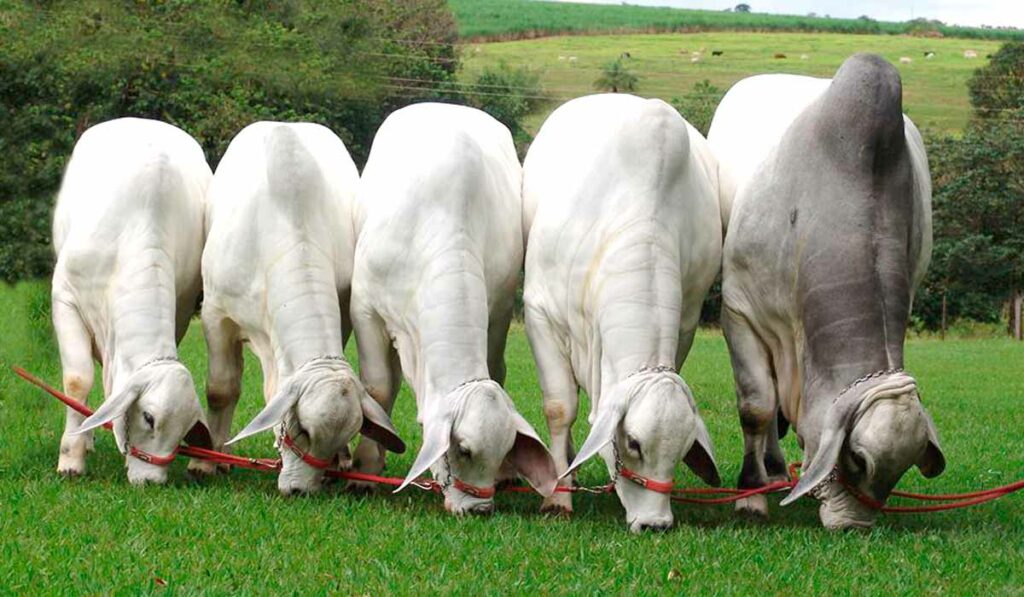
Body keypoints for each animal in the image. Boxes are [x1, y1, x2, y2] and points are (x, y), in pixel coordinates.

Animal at [54, 117, 211, 485]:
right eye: (149, 418)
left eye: (183, 432)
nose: (151, 481)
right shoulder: (65, 299)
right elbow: (77, 380)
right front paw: (71, 458)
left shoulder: (181, 310)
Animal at [195, 120, 403, 495]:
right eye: (302, 430)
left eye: (341, 437)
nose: (300, 491)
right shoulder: (216, 314)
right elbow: (221, 389)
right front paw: (205, 462)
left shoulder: (342, 306)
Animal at [352, 102, 561, 514]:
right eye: (463, 449)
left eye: (505, 451)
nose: (479, 509)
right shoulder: (365, 307)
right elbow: (379, 389)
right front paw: (364, 470)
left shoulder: (498, 310)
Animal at [524, 95, 724, 536]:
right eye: (633, 443)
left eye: (682, 450)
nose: (656, 523)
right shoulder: (539, 314)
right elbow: (560, 408)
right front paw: (558, 497)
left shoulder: (686, 324)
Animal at [712, 52, 942, 528]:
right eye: (857, 460)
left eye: (899, 473)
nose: (854, 525)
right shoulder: (740, 313)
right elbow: (757, 408)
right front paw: (749, 495)